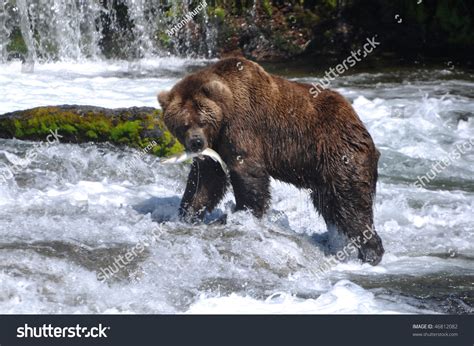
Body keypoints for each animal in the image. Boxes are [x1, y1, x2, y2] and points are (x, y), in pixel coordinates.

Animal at [157, 56, 384, 264]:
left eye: (202, 121)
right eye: (183, 125)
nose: (196, 142)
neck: (226, 109)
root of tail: (358, 122)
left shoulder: (243, 126)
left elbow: (247, 171)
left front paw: (241, 213)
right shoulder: (216, 146)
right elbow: (207, 180)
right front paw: (187, 213)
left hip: (337, 152)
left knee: (350, 201)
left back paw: (371, 252)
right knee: (330, 205)